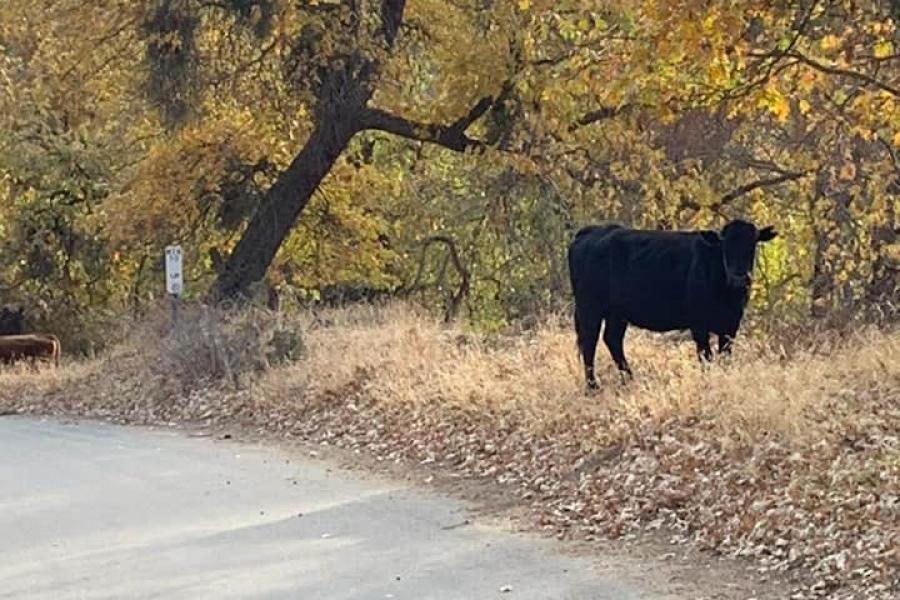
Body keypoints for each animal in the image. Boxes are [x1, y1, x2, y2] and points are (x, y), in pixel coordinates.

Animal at [568, 219, 772, 390]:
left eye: (752, 245)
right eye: (725, 245)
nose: (738, 277)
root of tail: (591, 231)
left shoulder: (731, 325)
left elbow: (725, 356)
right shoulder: (699, 324)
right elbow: (706, 356)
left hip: (617, 314)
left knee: (612, 339)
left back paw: (630, 379)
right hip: (590, 309)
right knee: (590, 342)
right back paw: (593, 386)